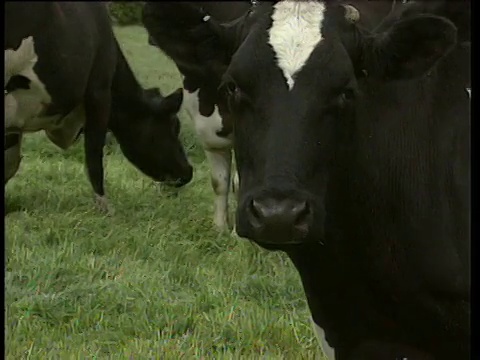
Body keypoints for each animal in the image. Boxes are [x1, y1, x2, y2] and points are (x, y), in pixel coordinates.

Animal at [5, 1, 193, 212]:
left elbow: (10, 163)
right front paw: (104, 207)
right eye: (174, 126)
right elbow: (94, 155)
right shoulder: (99, 92)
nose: (188, 171)